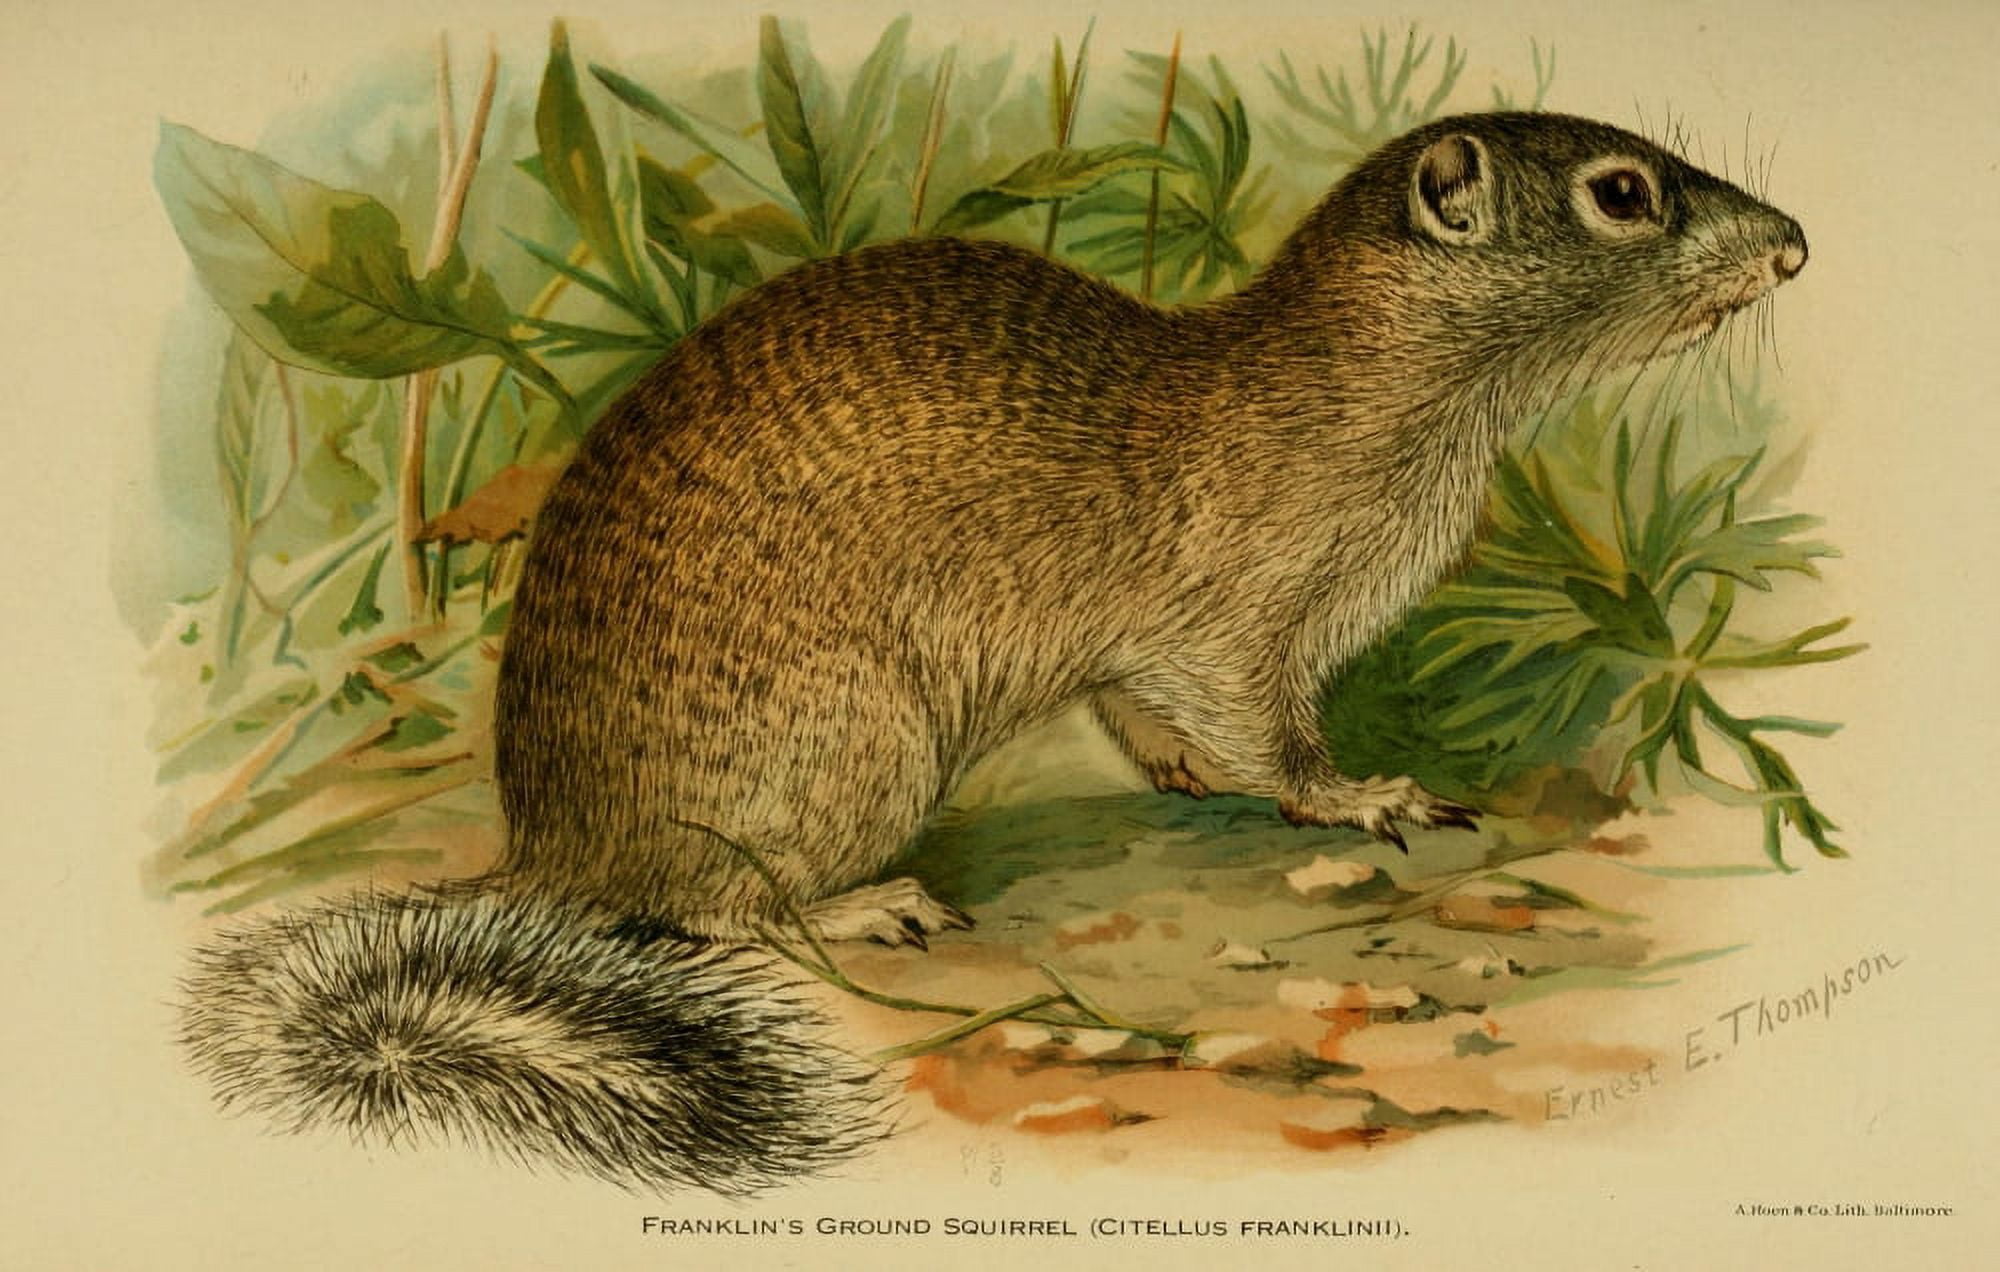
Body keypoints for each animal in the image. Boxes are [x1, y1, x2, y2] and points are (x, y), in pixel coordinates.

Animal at [180, 112, 1808, 1194]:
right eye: (1623, 192)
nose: (1792, 244)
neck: (1362, 392)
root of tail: (547, 849)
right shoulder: (1235, 614)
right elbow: (1265, 727)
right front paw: (1366, 795)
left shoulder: (1145, 655)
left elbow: (1156, 720)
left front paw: (1197, 779)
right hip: (855, 746)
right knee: (716, 911)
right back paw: (867, 908)